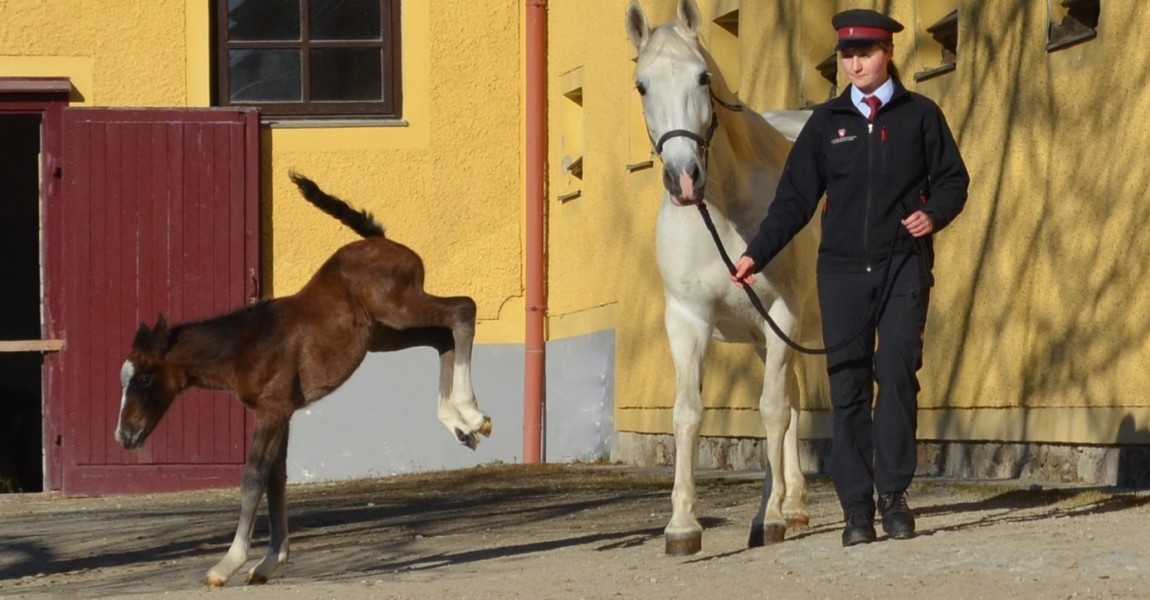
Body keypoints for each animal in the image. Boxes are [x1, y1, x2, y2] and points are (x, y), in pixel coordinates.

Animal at [630, 0, 818, 551]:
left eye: (702, 76)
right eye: (642, 85)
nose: (684, 178)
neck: (724, 207)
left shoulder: (783, 311)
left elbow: (771, 409)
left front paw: (769, 518)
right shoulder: (688, 319)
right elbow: (688, 413)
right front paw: (682, 526)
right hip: (765, 338)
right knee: (794, 402)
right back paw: (793, 504)